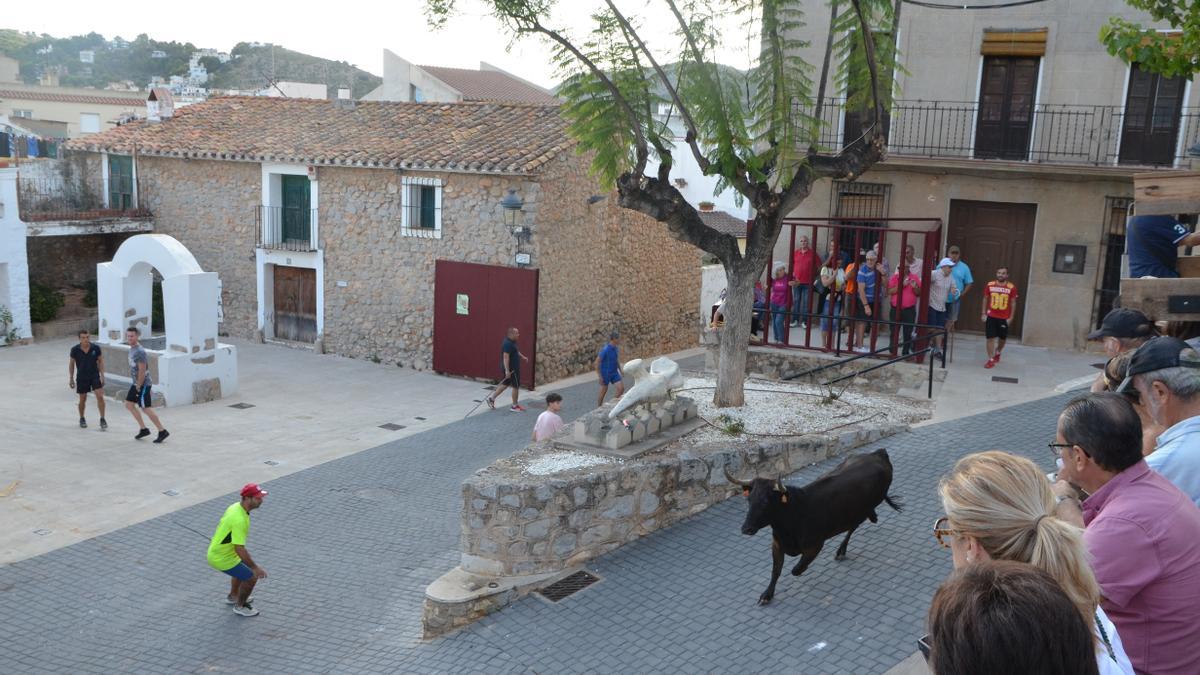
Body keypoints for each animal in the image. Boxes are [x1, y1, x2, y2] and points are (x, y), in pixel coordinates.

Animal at [720, 449, 902, 600]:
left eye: (765, 502)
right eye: (749, 500)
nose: (746, 529)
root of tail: (878, 453)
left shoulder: (815, 545)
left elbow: (796, 570)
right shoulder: (777, 544)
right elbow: (776, 570)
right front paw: (767, 595)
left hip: (863, 510)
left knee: (855, 524)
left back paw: (843, 548)